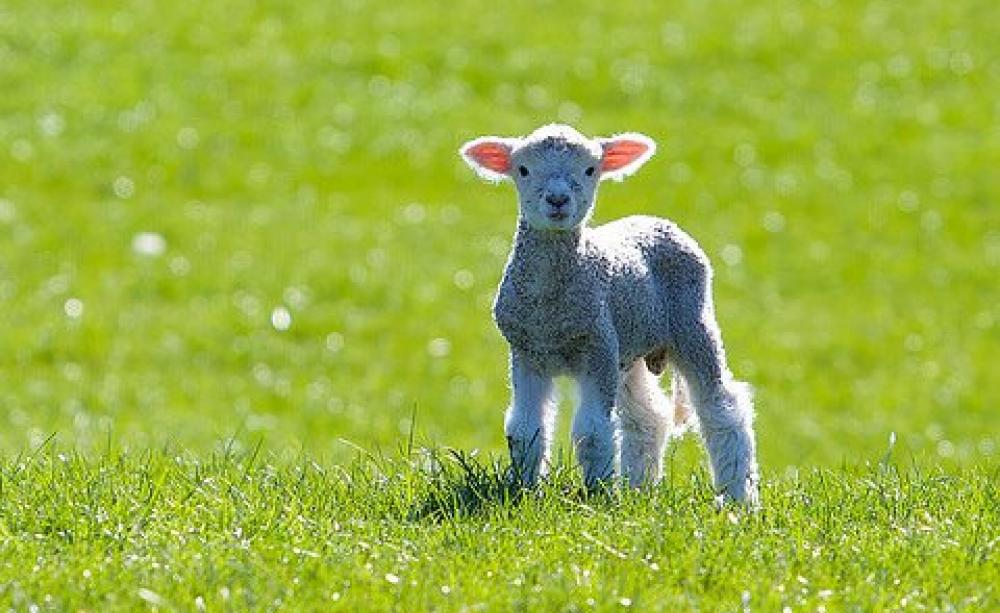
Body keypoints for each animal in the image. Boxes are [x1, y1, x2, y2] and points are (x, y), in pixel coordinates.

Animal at [459, 124, 759, 505]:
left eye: (590, 170)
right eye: (523, 170)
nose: (557, 200)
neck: (549, 309)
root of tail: (656, 220)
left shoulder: (596, 347)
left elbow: (592, 431)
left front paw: (597, 495)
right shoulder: (527, 352)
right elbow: (525, 429)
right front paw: (525, 491)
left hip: (692, 323)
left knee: (722, 409)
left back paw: (738, 497)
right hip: (629, 346)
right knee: (648, 417)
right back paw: (639, 488)